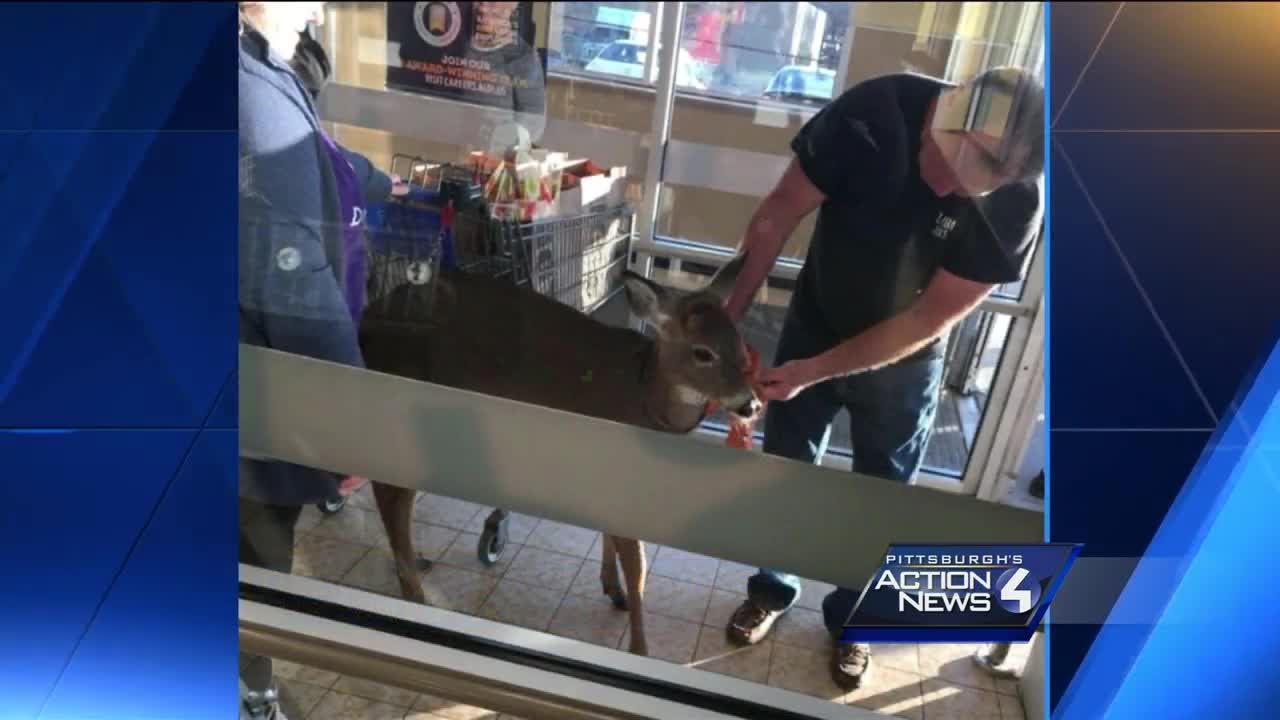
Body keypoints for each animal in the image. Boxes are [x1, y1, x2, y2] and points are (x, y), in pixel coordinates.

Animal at [355, 253, 757, 655]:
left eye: (740, 344)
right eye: (703, 352)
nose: (749, 404)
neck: (644, 398)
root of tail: (366, 318)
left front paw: (613, 589)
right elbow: (638, 566)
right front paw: (639, 648)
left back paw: (417, 564)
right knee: (389, 492)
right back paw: (414, 593)